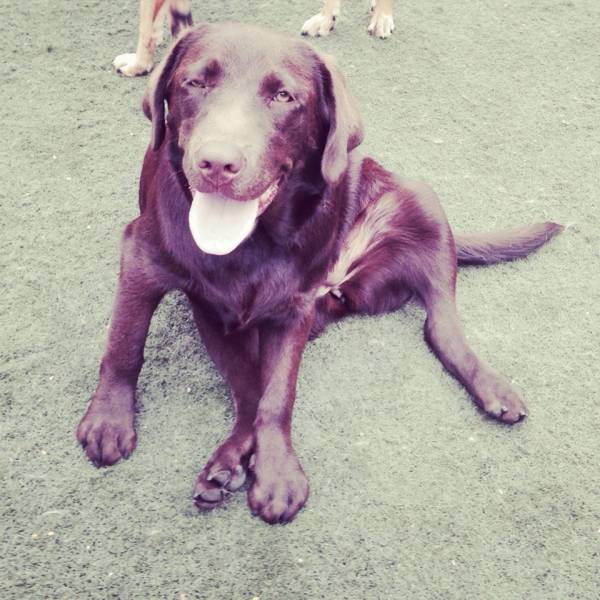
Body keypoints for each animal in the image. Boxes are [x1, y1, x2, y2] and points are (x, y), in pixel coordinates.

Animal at [77, 23, 560, 524]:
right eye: (194, 83)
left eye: (283, 96)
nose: (217, 163)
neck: (252, 242)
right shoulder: (143, 258)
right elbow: (125, 344)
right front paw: (108, 419)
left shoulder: (294, 308)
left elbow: (278, 395)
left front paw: (276, 472)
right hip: (227, 317)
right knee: (247, 391)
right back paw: (226, 465)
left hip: (425, 206)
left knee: (441, 331)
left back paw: (494, 388)